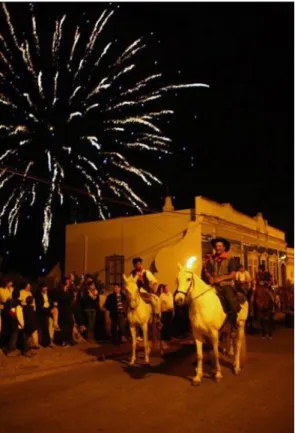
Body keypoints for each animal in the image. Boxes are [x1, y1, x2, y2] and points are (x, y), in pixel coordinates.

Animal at [176, 256, 250, 384]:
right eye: (177, 279)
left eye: (188, 279)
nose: (178, 299)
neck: (201, 305)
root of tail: (242, 295)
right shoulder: (197, 334)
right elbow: (199, 354)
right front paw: (198, 376)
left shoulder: (214, 334)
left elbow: (215, 354)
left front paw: (218, 374)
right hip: (228, 327)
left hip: (240, 325)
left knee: (238, 345)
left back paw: (236, 367)